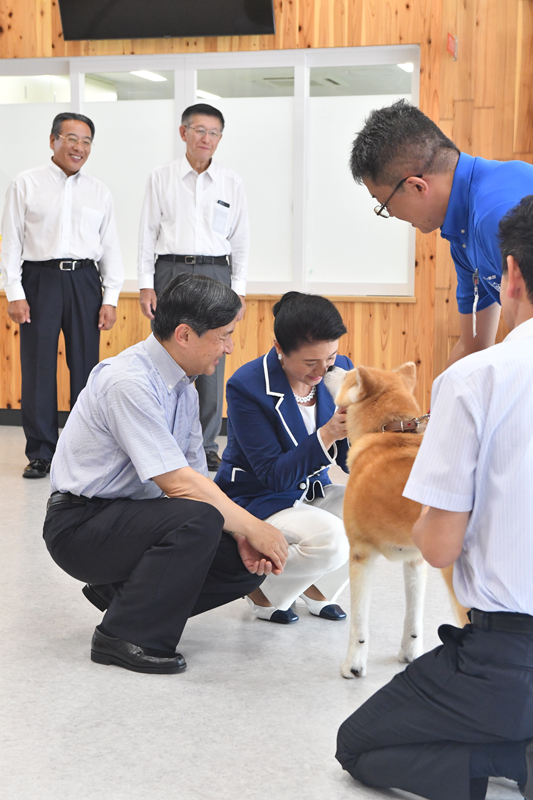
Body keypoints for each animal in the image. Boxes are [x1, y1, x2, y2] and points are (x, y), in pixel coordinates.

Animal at [324, 366, 466, 680]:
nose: (329, 366)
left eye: (349, 374)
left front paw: (353, 666)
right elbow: (413, 619)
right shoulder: (415, 561)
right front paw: (410, 654)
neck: (390, 431)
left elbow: (359, 625)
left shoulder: (361, 555)